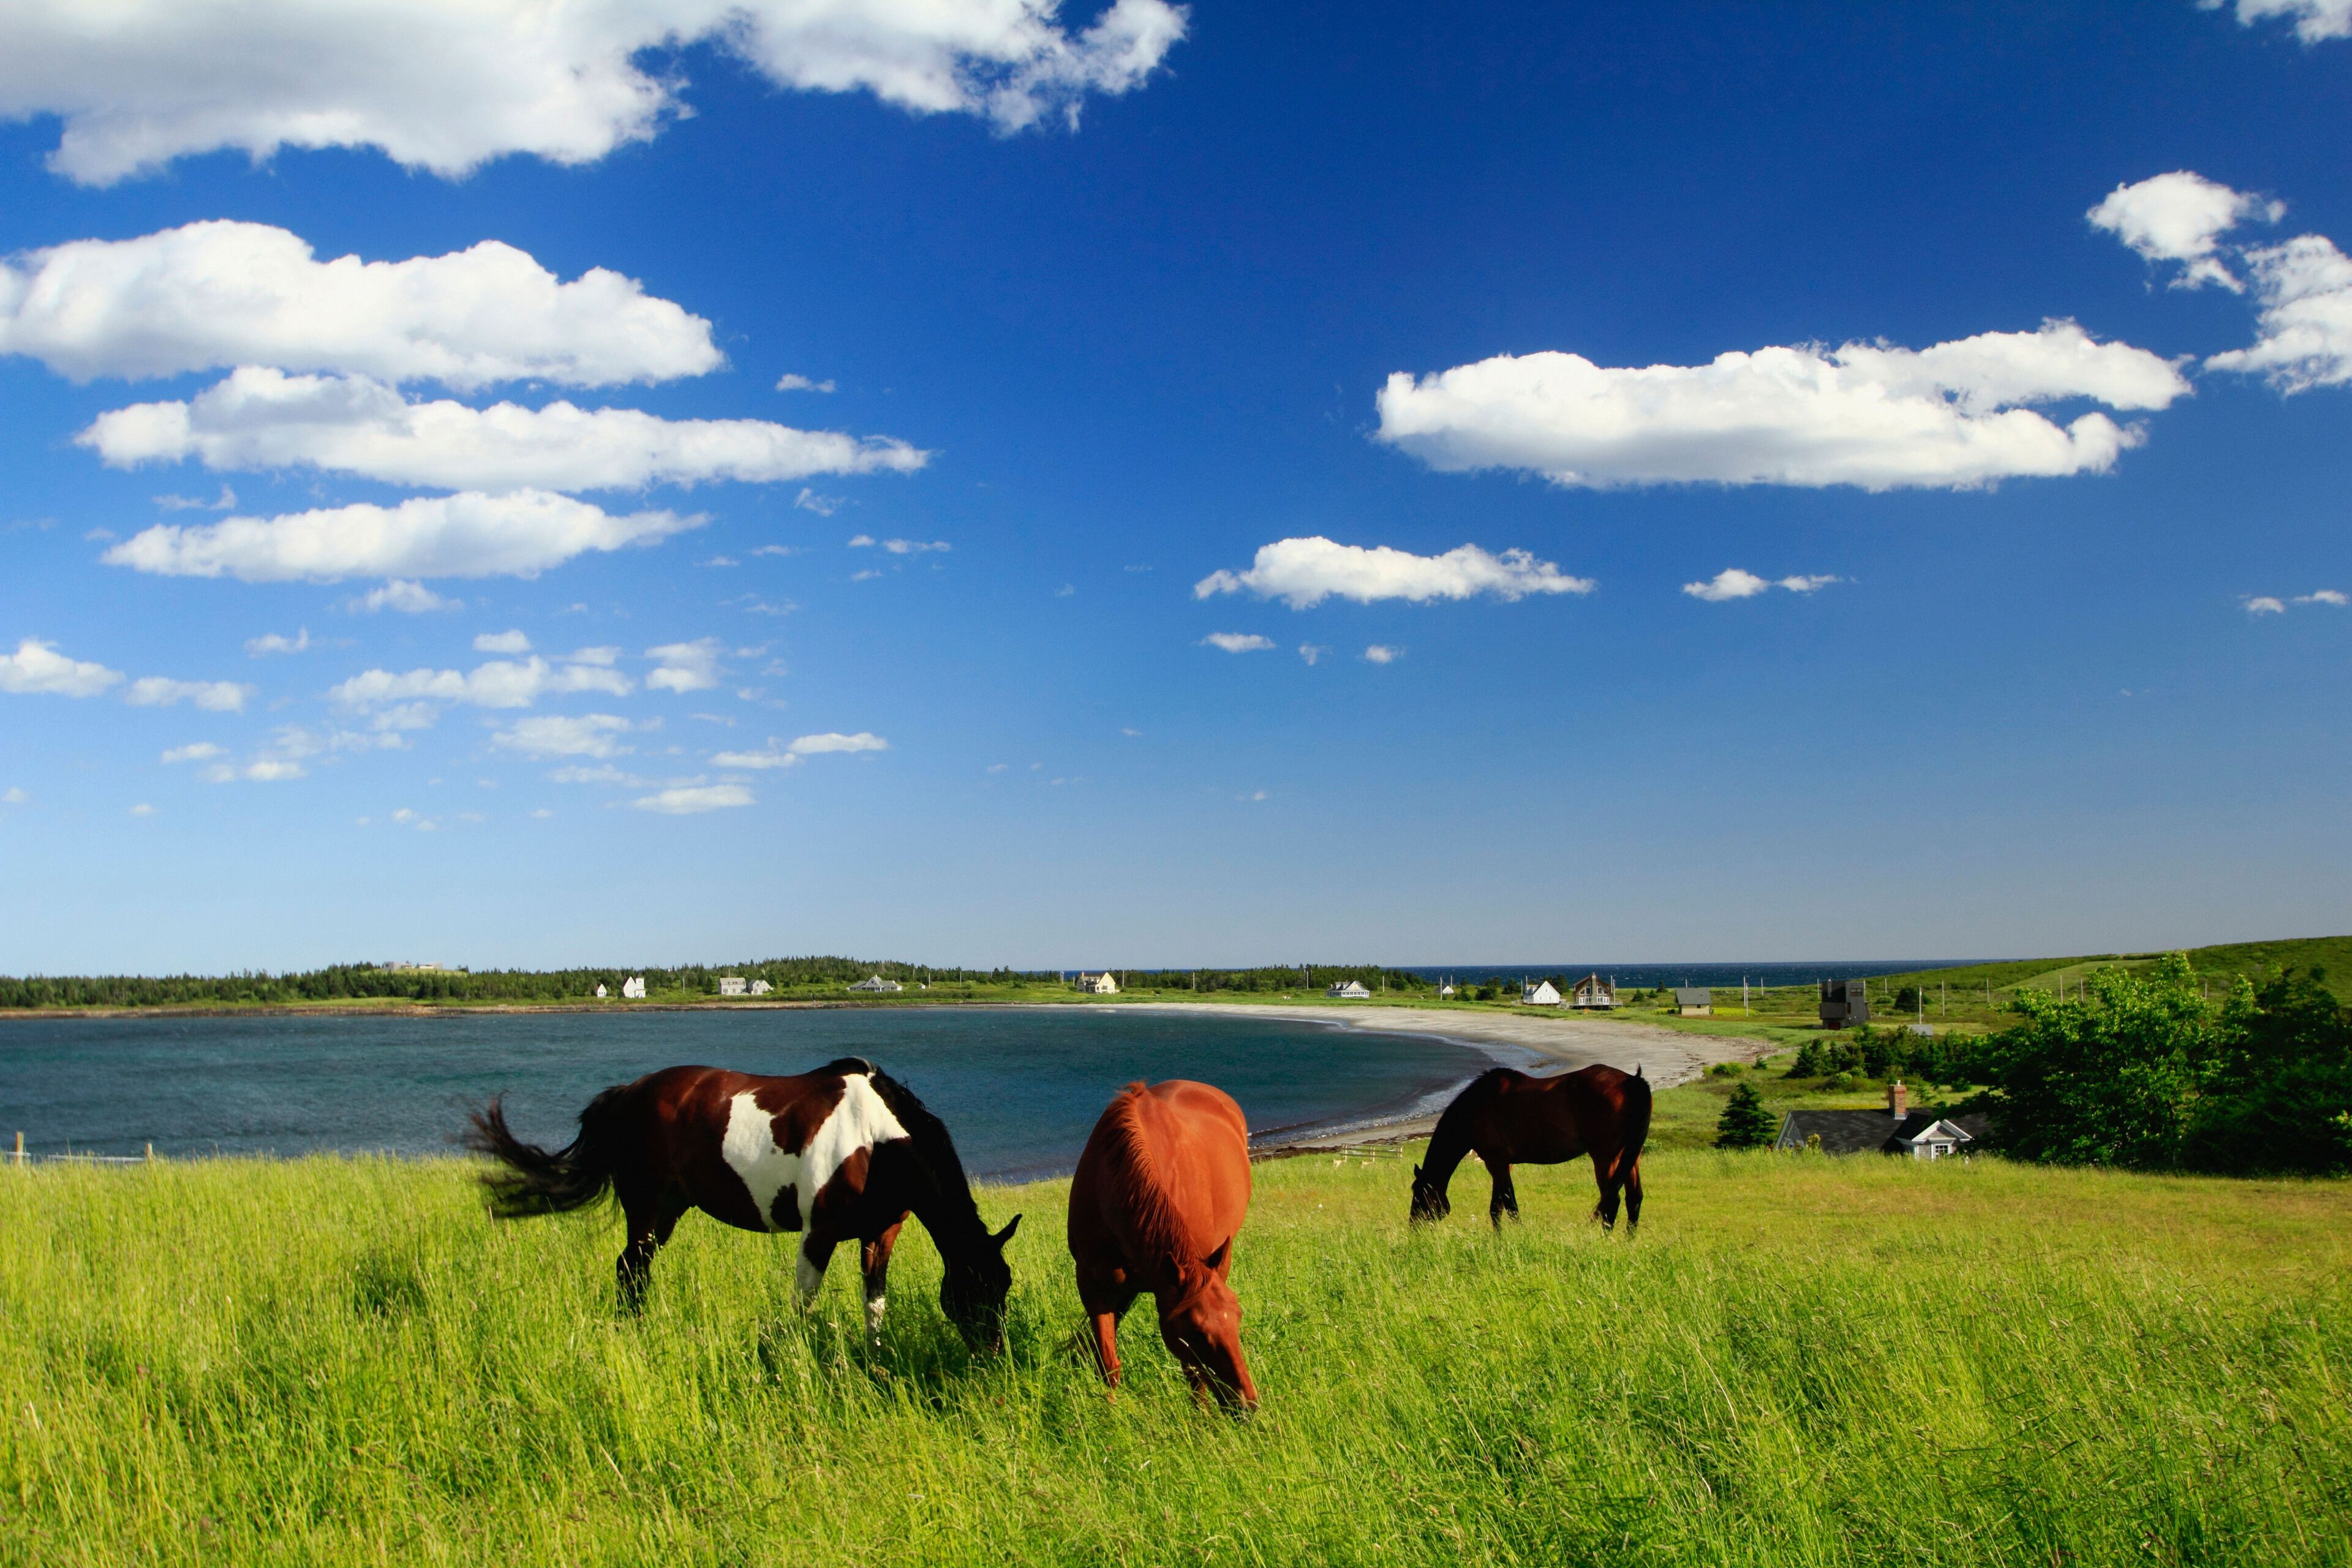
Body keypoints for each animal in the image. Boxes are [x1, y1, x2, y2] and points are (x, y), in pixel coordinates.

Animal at [463, 1057, 1019, 1347]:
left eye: (1004, 1286)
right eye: (974, 1288)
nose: (992, 1351)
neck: (875, 1140)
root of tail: (627, 1093)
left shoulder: (881, 1232)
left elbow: (874, 1302)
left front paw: (875, 1355)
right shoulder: (818, 1234)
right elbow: (803, 1304)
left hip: (667, 1212)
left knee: (631, 1269)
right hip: (645, 1209)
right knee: (630, 1270)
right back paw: (633, 1332)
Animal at [1066, 1080, 1258, 1411]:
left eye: (1238, 1316)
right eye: (1195, 1332)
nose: (1247, 1404)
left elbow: (1193, 1373)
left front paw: (1202, 1417)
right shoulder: (1093, 1283)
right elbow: (1108, 1363)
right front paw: (1111, 1411)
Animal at [1408, 1063, 1651, 1232]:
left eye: (1420, 1193)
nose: (1414, 1227)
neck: (1477, 1108)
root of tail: (1632, 1082)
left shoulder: (1495, 1162)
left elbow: (1510, 1205)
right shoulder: (1503, 1165)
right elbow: (1496, 1208)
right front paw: (1498, 1240)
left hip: (1605, 1158)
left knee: (1612, 1200)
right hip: (1630, 1157)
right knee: (1634, 1199)